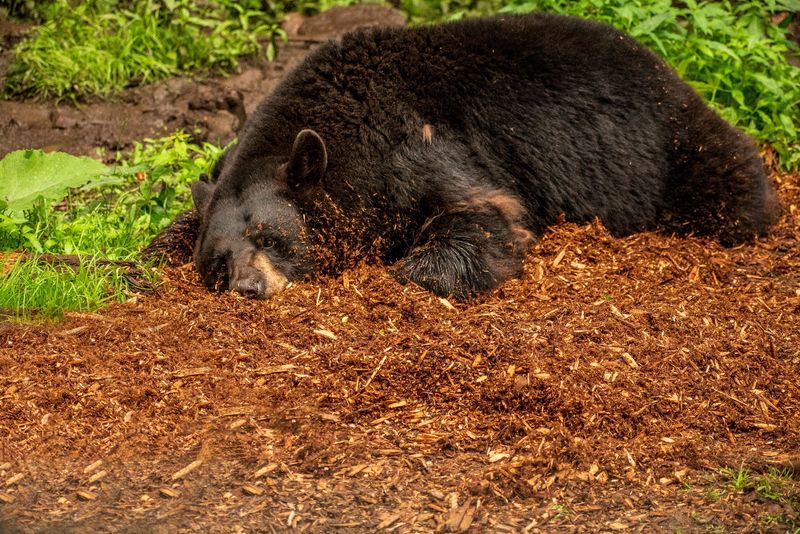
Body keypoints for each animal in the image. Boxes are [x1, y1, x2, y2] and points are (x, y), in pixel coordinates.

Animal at [190, 13, 779, 301]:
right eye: (217, 263)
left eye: (271, 238)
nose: (247, 287)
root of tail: (661, 64)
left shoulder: (418, 147)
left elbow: (483, 214)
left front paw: (406, 273)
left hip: (667, 143)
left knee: (727, 184)